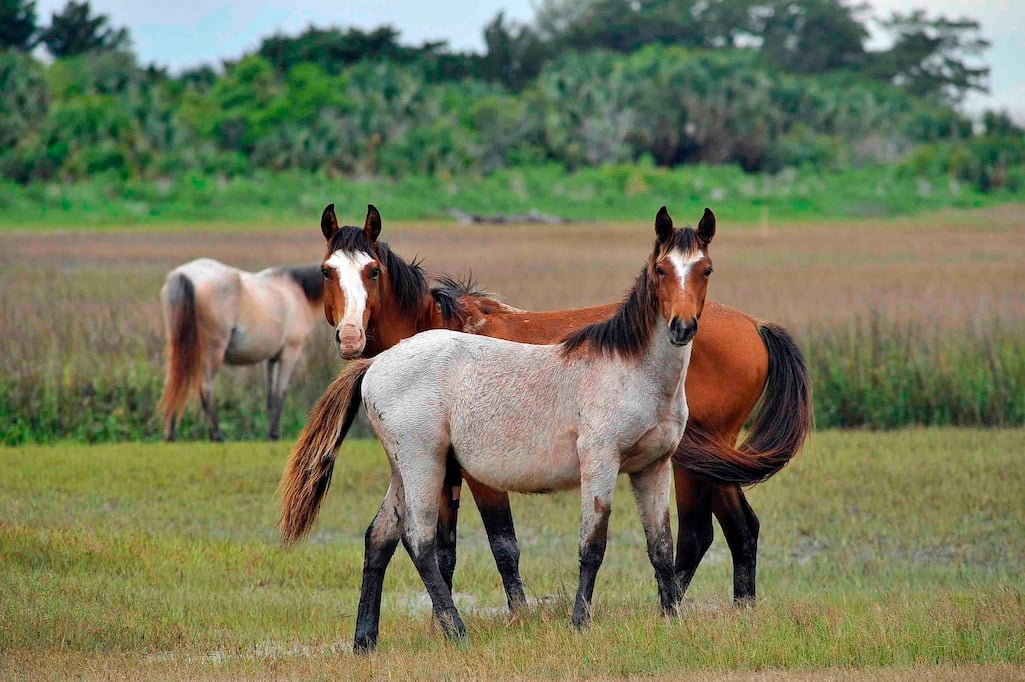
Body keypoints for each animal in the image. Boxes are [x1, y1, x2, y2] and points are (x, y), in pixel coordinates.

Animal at [158, 258, 325, 441]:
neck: (299, 290)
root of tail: (184, 274)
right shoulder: (289, 352)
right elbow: (280, 392)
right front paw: (275, 434)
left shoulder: (270, 358)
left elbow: (270, 396)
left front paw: (269, 434)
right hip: (212, 352)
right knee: (206, 388)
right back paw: (216, 435)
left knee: (172, 384)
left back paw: (170, 435)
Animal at [297, 203, 811, 614]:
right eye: (326, 271)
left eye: (373, 271)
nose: (350, 338)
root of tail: (755, 324)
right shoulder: (451, 471)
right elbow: (448, 550)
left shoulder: (480, 476)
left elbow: (503, 545)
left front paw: (521, 616)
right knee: (738, 529)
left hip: (697, 462)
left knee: (702, 534)